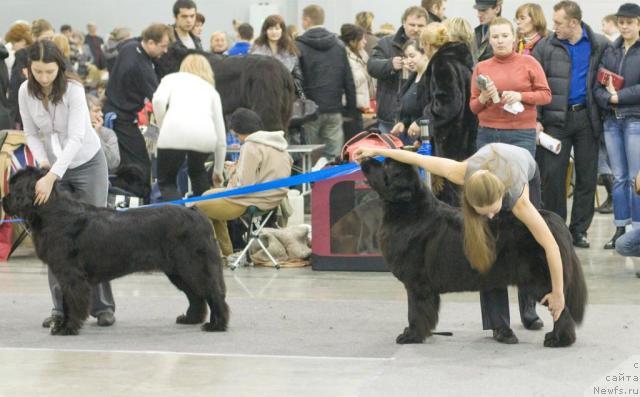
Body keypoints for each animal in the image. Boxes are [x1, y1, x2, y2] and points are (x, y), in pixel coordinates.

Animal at [3, 166, 230, 334]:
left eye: (14, 188)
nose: (2, 200)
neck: (54, 214)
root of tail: (197, 213)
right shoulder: (65, 274)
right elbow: (67, 301)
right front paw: (62, 326)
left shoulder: (71, 275)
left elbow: (72, 302)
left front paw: (67, 328)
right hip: (178, 271)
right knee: (196, 296)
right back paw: (190, 319)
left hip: (193, 266)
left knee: (212, 292)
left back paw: (216, 325)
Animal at [360, 158, 584, 346]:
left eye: (387, 166)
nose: (365, 158)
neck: (410, 212)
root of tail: (553, 221)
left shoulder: (417, 284)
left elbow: (415, 311)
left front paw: (411, 336)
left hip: (542, 280)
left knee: (561, 308)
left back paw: (559, 339)